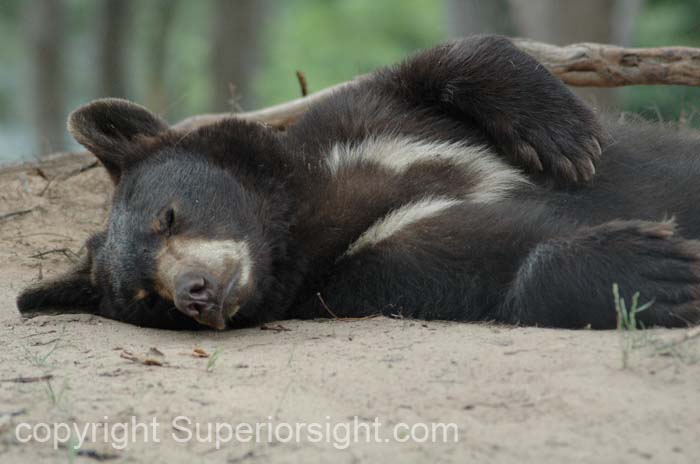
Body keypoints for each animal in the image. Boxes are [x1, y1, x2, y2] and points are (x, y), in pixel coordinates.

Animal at [13, 35, 700, 330]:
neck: (299, 217)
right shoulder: (359, 272)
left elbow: (435, 67)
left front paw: (565, 137)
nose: (195, 293)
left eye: (169, 216)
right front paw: (656, 268)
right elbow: (485, 268)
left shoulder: (366, 128)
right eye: (147, 298)